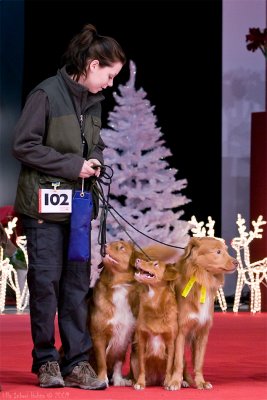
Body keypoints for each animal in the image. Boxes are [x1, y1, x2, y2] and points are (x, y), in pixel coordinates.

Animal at [130, 256, 179, 390]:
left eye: (156, 264)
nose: (137, 260)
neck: (155, 300)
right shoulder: (141, 340)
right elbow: (142, 367)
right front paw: (140, 383)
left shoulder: (171, 342)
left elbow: (169, 366)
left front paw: (168, 382)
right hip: (133, 358)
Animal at [170, 238, 239, 390]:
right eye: (218, 252)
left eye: (226, 250)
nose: (237, 262)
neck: (202, 280)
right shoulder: (180, 332)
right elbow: (178, 361)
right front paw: (174, 382)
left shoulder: (202, 332)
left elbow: (198, 362)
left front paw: (200, 382)